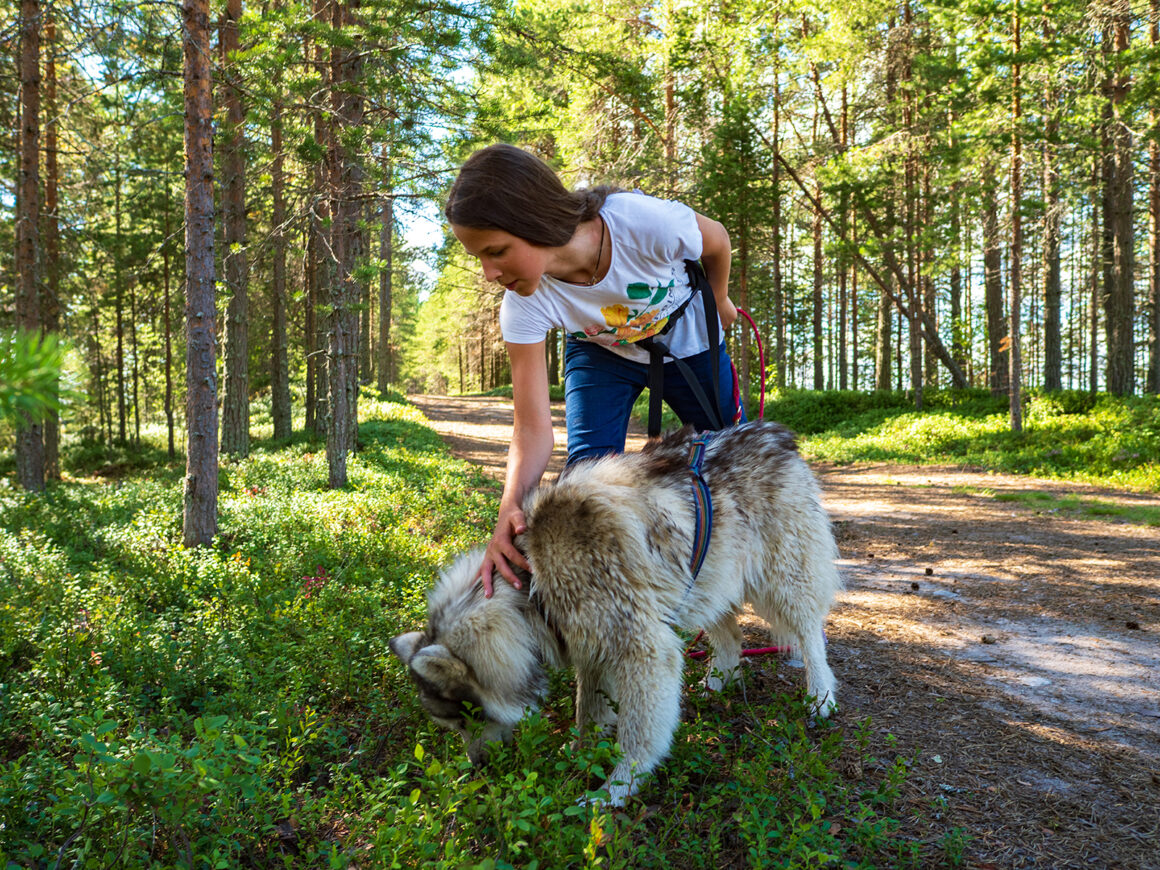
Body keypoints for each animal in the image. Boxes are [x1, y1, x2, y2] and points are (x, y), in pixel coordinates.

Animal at [392, 419, 844, 802]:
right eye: (454, 724)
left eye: (467, 718)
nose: (479, 767)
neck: (532, 585)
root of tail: (775, 432)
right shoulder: (592, 648)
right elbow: (587, 712)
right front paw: (579, 753)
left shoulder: (644, 651)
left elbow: (637, 735)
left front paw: (614, 790)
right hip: (707, 581)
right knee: (731, 637)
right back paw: (718, 681)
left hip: (781, 581)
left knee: (810, 635)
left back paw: (820, 697)